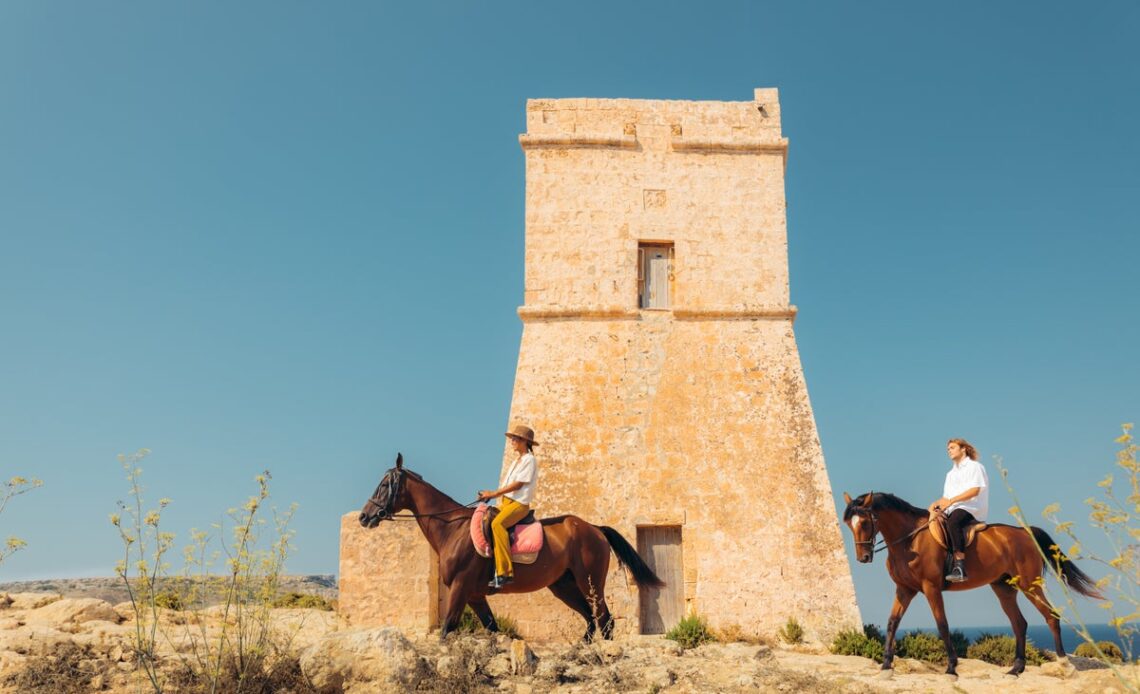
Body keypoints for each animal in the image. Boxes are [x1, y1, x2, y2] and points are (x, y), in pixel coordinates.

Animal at [357, 455, 665, 638]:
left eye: (384, 485)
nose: (364, 516)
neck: (453, 529)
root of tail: (594, 528)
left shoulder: (460, 588)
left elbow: (447, 630)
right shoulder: (475, 595)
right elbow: (493, 629)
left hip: (590, 582)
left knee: (604, 619)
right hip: (563, 586)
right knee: (590, 620)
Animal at [843, 492, 1098, 674]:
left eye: (864, 522)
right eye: (849, 524)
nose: (863, 557)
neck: (910, 540)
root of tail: (1024, 533)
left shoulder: (931, 588)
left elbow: (942, 624)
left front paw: (951, 667)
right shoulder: (904, 590)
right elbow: (892, 623)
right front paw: (886, 665)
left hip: (1030, 586)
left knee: (1051, 617)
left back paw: (1065, 665)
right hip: (1004, 589)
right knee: (1019, 624)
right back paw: (1016, 668)